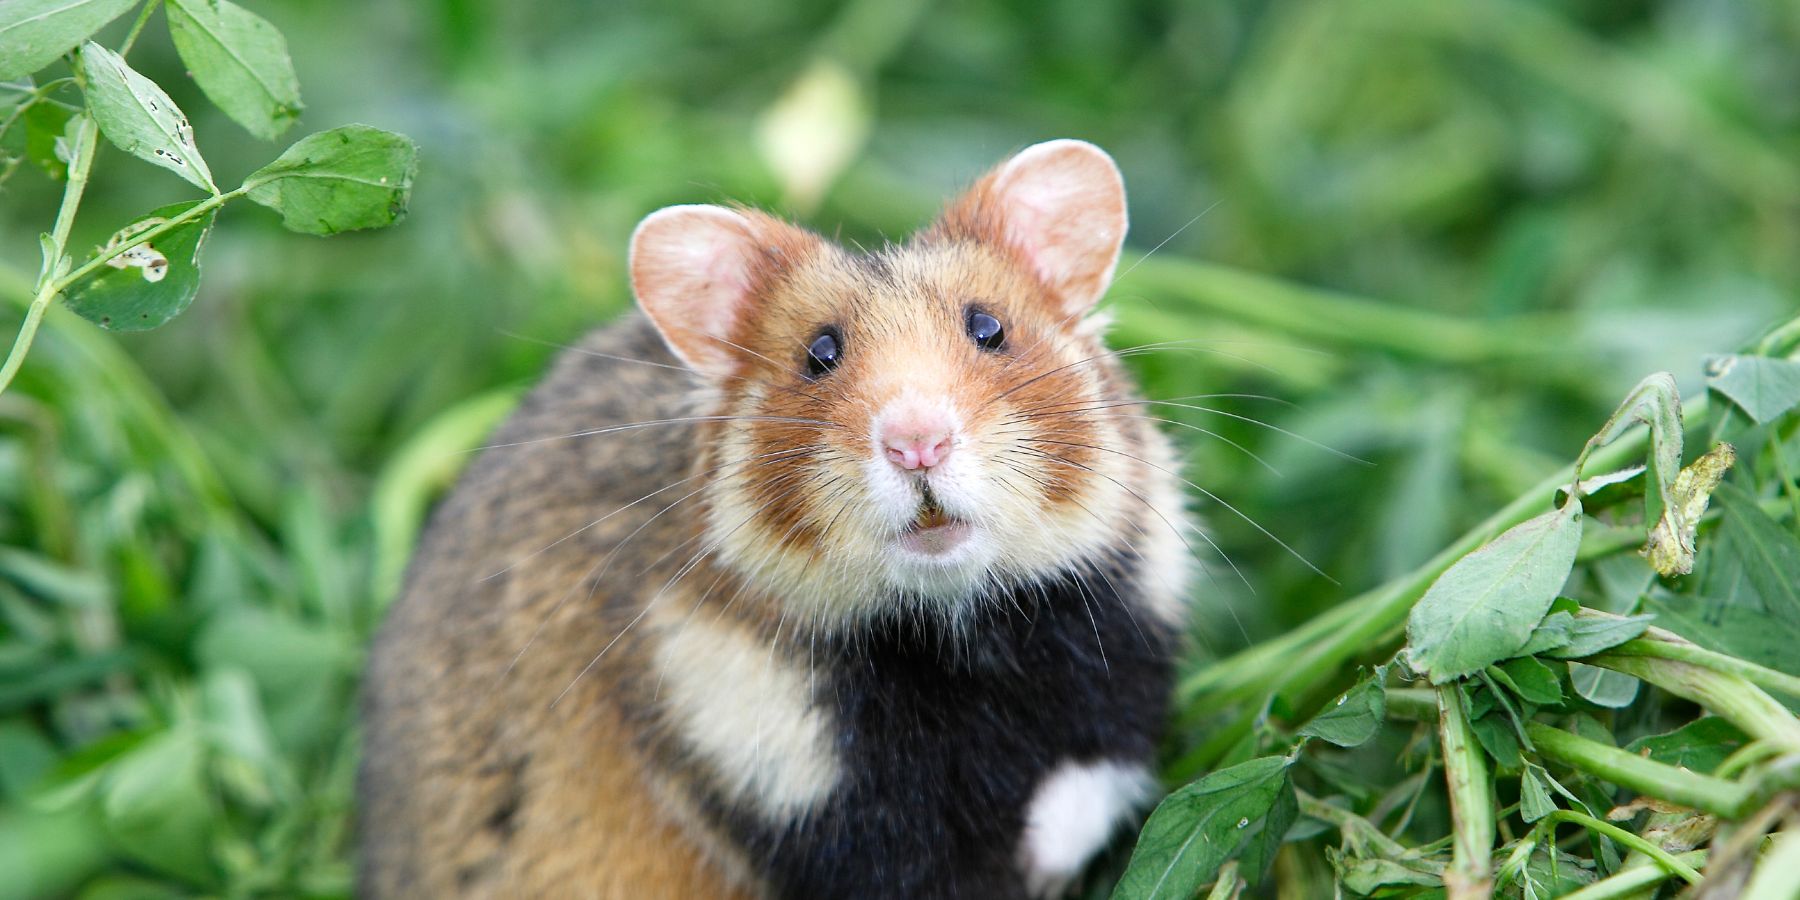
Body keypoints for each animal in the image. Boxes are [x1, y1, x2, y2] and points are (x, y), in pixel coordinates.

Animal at [358, 139, 1194, 899]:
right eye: (820, 354)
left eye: (988, 329)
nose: (917, 444)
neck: (949, 627)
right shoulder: (786, 773)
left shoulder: (1122, 660)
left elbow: (1086, 787)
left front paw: (1046, 860)